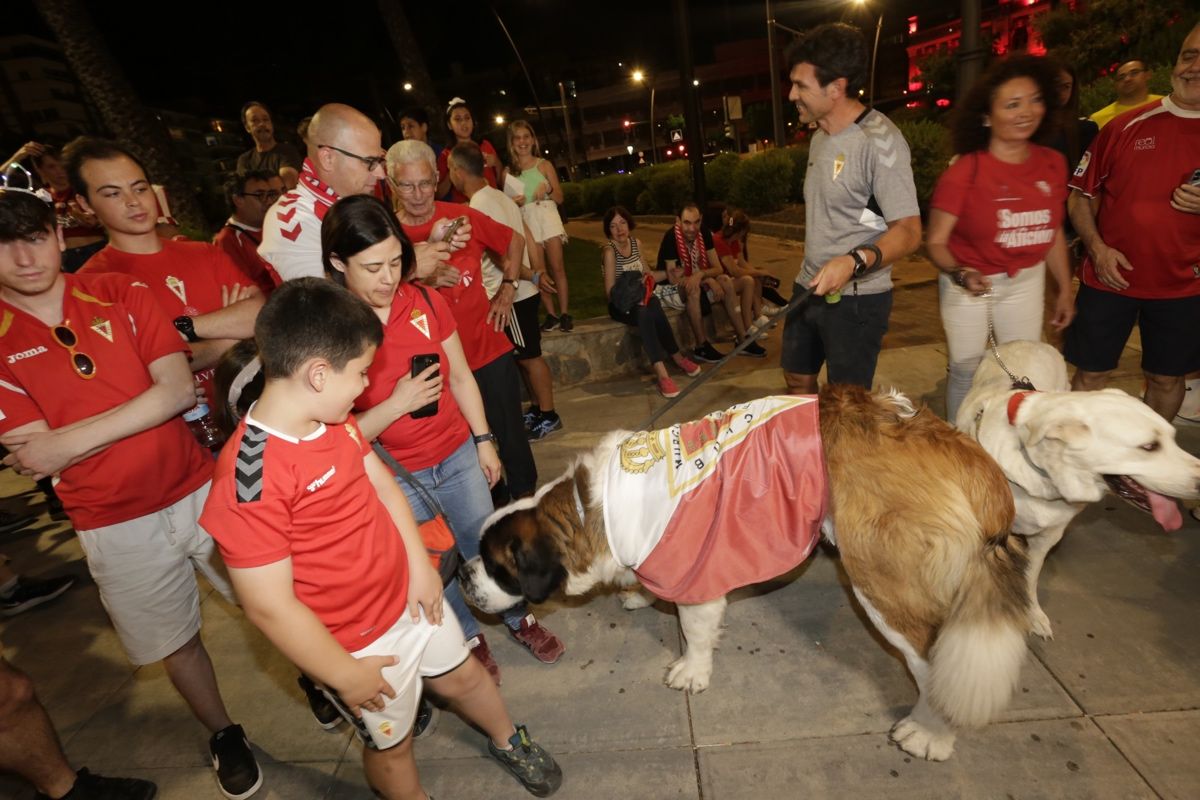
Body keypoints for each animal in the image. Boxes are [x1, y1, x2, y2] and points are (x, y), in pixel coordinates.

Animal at [460, 383, 1032, 762]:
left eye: (497, 566)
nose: (462, 576)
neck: (584, 512)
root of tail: (959, 449)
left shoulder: (694, 572)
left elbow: (695, 628)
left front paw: (691, 671)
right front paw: (639, 594)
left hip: (882, 580)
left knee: (933, 658)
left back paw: (930, 733)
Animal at [960, 340, 1200, 642]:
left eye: (1172, 437)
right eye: (1149, 447)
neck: (1040, 474)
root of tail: (1028, 341)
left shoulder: (1045, 539)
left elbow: (1030, 578)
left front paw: (1033, 615)